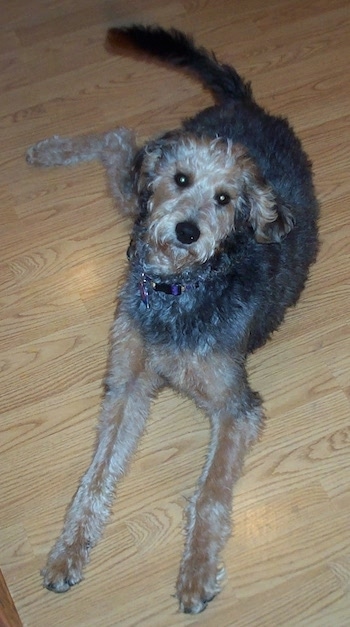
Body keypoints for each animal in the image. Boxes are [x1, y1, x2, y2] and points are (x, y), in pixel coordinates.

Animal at [26, 25, 318, 612]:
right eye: (182, 180)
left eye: (225, 198)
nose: (187, 231)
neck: (175, 289)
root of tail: (242, 103)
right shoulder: (127, 385)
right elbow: (94, 480)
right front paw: (67, 554)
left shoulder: (235, 407)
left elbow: (208, 495)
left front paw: (197, 574)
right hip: (135, 198)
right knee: (118, 138)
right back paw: (47, 150)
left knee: (119, 140)